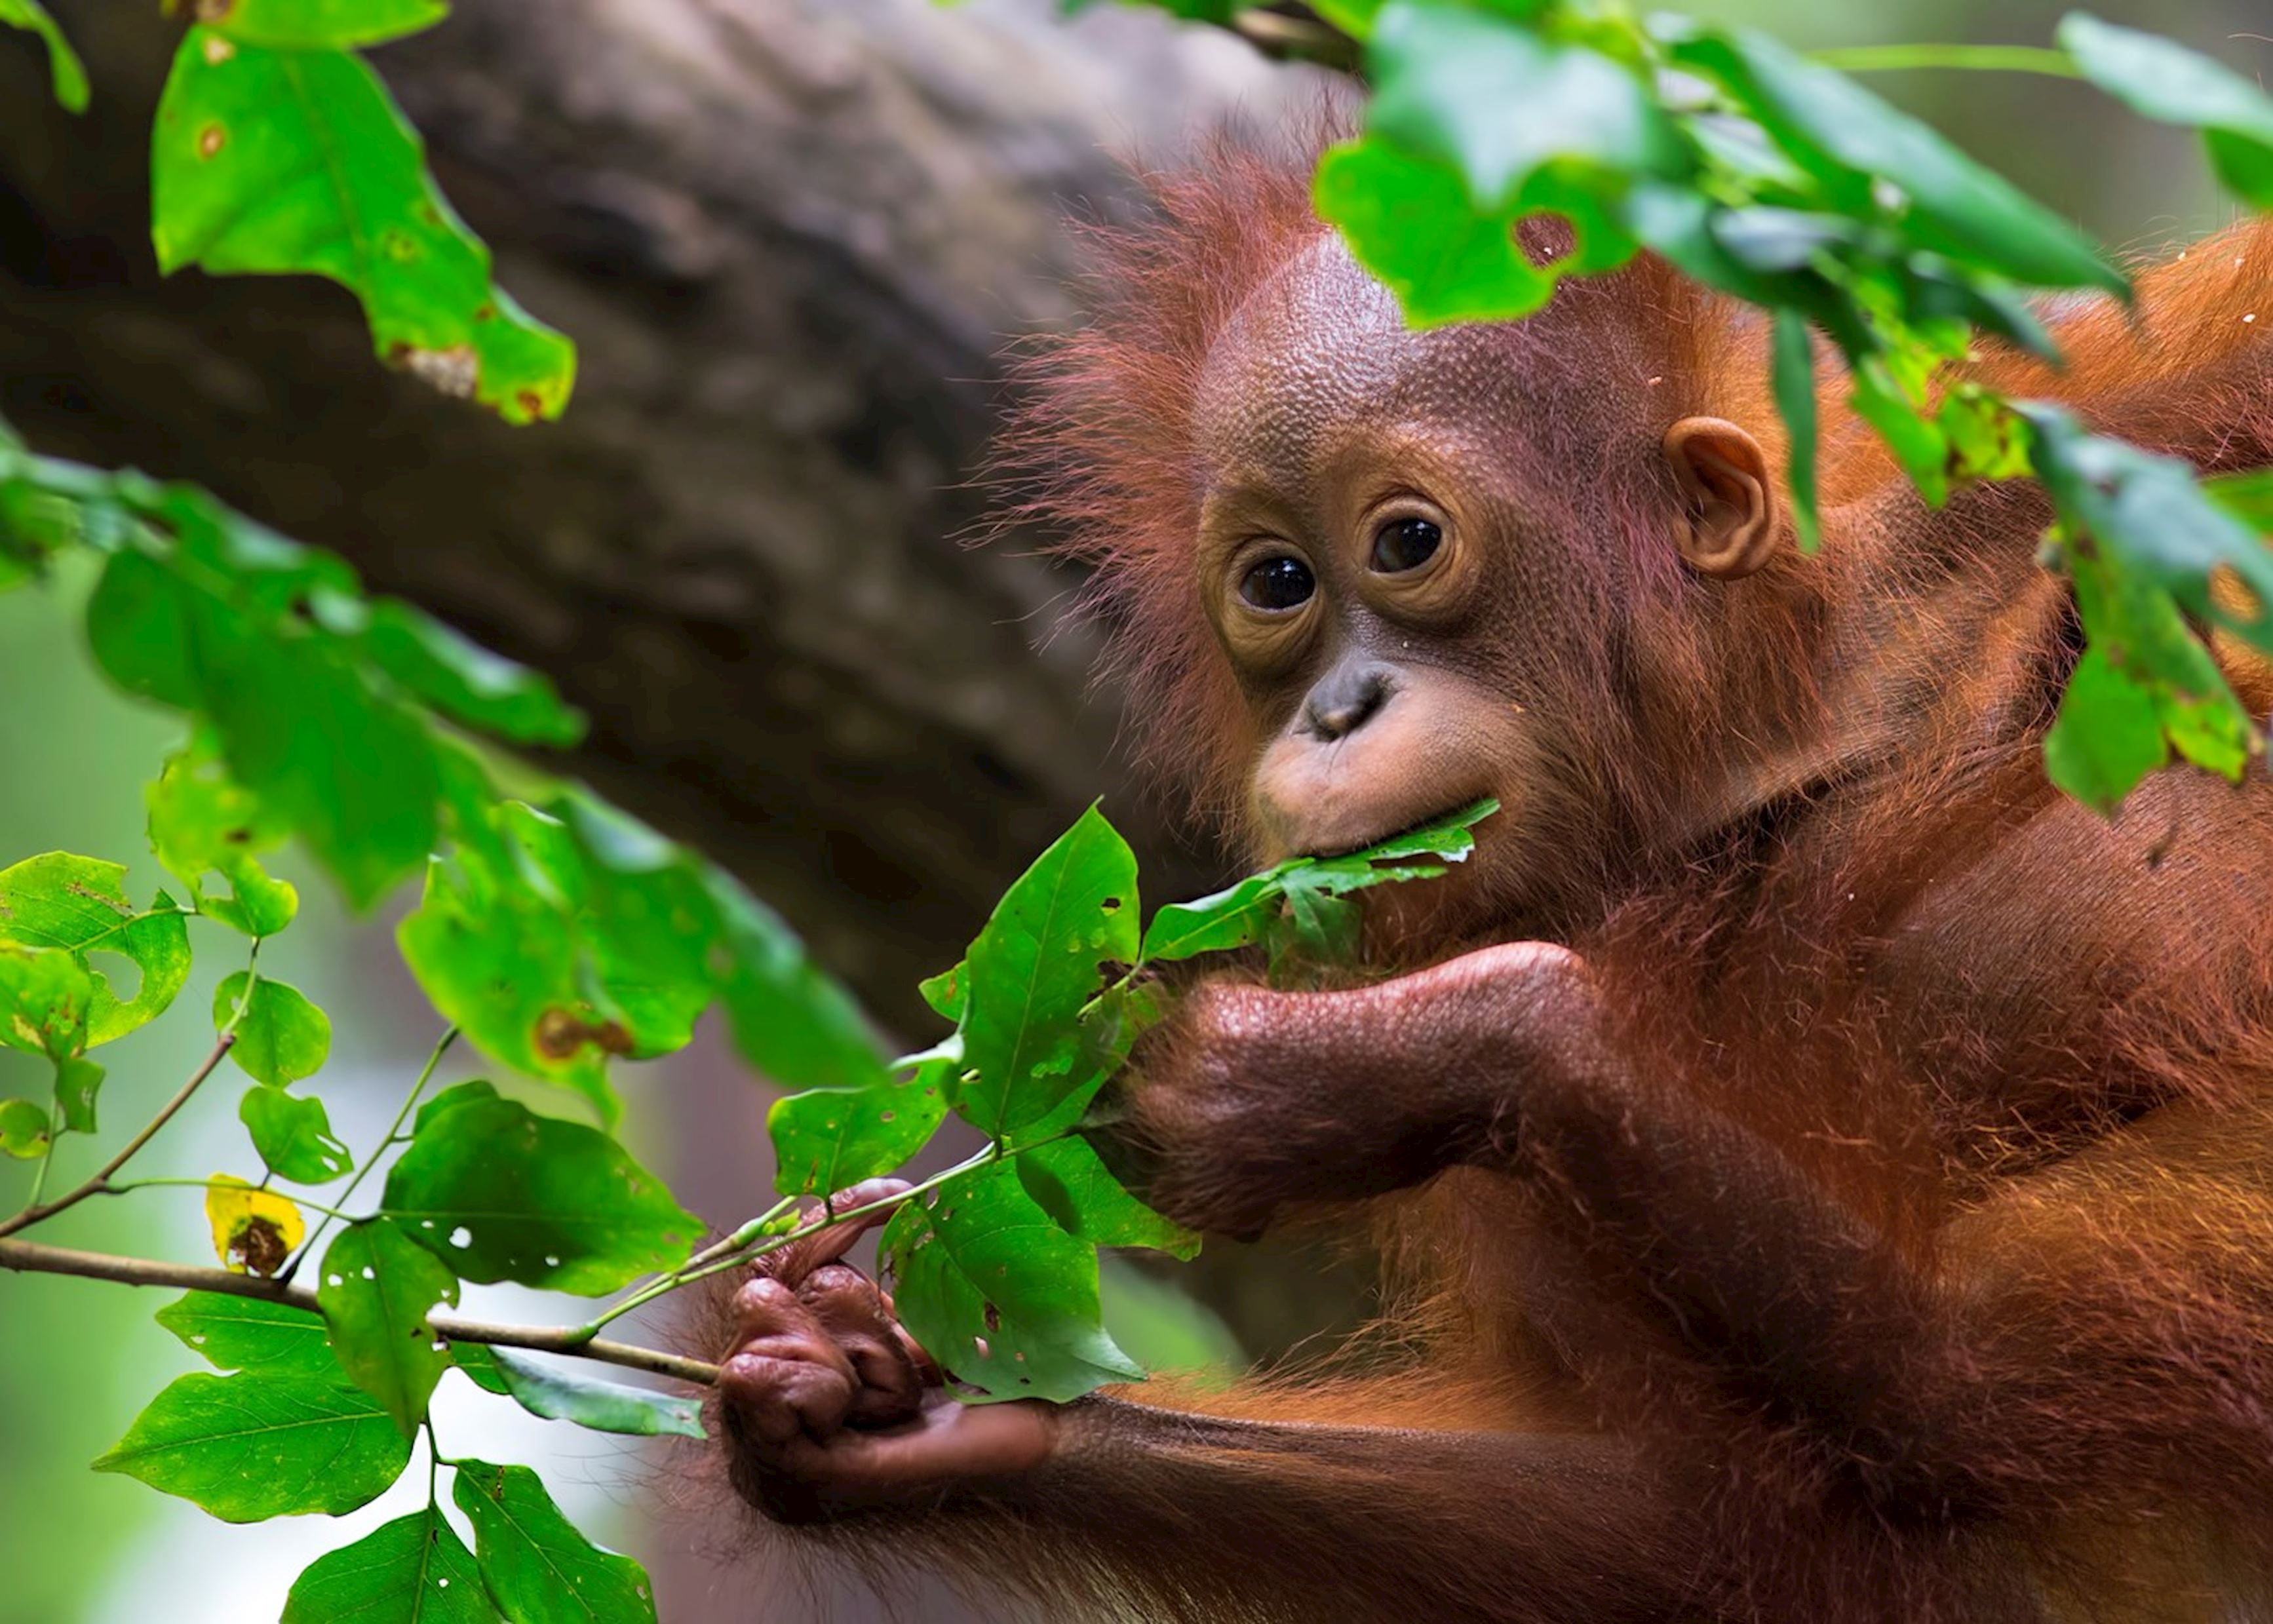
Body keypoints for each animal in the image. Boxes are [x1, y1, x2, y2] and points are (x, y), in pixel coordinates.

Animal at [710, 136, 2273, 1623]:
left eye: (1406, 541)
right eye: (1275, 582)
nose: (1337, 710)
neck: (1755, 754)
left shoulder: (2104, 429)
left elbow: (2001, 1364)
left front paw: (1339, 1071)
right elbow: (1681, 1518)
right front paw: (898, 1405)